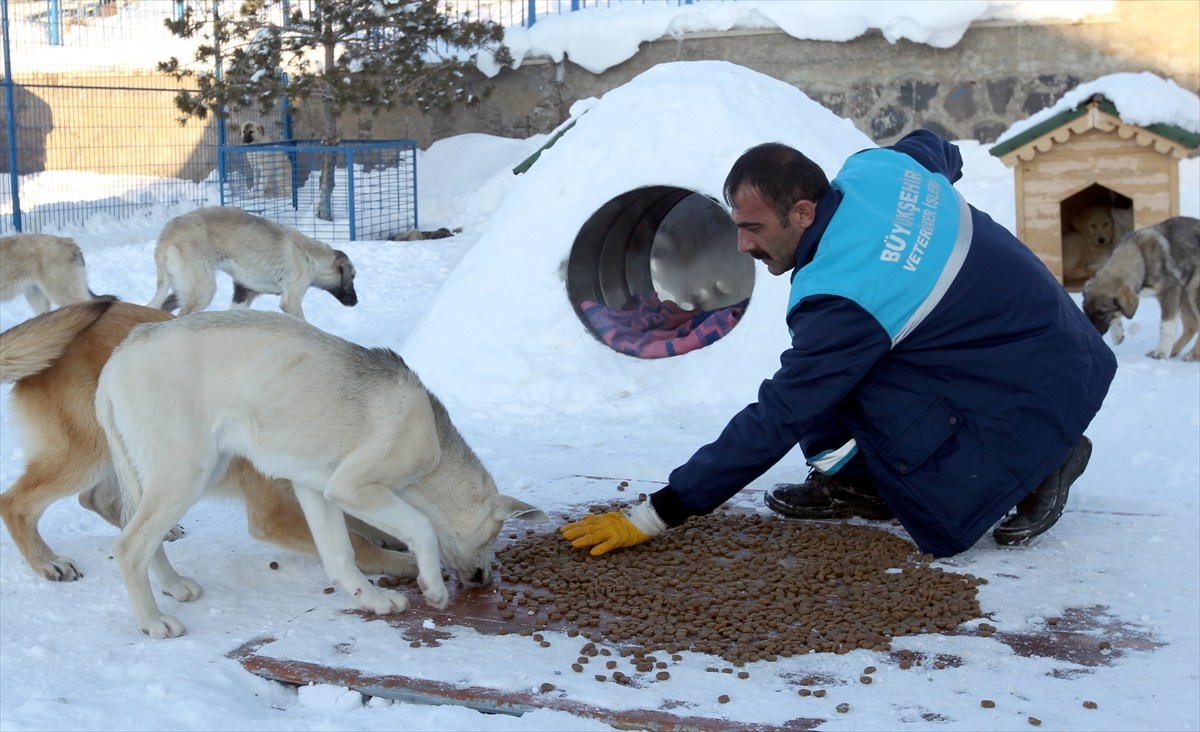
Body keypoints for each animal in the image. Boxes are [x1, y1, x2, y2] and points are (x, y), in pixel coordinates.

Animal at [0, 298, 420, 578]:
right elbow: (356, 542)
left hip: (118, 455)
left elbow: (357, 518)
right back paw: (47, 562)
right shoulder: (273, 514)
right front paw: (402, 562)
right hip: (89, 454)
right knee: (16, 502)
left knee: (99, 499)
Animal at [96, 309, 547, 633]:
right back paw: (154, 622)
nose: (483, 579)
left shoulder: (314, 488)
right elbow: (420, 529)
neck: (434, 447)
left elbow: (341, 554)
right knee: (130, 546)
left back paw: (172, 586)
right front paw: (432, 588)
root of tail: (118, 357)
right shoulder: (352, 488)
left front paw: (371, 600)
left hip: (179, 477)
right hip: (186, 476)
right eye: (490, 537)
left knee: (145, 539)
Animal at [145, 205, 355, 319]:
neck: (312, 255)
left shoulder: (243, 293)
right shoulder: (291, 300)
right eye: (353, 277)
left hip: (184, 287)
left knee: (163, 307)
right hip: (202, 289)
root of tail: (168, 232)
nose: (356, 302)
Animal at [1084, 213, 1195, 360]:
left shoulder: (1171, 291)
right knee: (1193, 325)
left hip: (1194, 292)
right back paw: (1176, 350)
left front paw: (1161, 351)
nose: (1089, 337)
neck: (1140, 256)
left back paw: (1192, 354)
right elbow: (1119, 312)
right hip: (1185, 296)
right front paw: (1117, 334)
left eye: (1101, 313)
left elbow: (1166, 325)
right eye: (1084, 309)